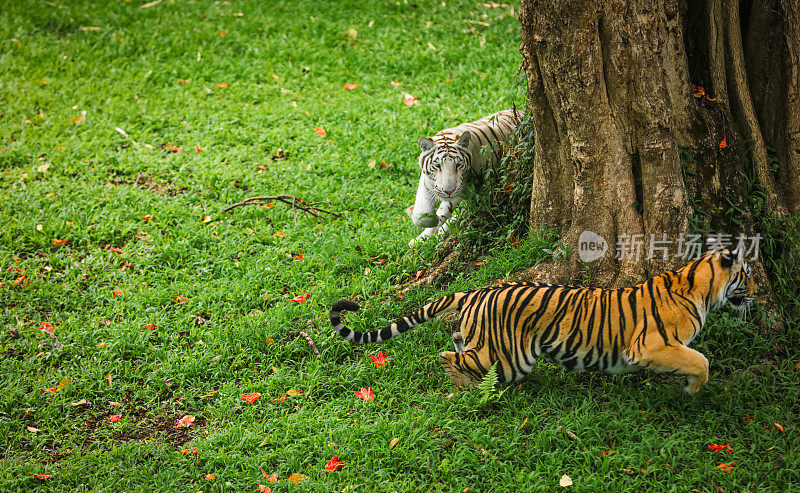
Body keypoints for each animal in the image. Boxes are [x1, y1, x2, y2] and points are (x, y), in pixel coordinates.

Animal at [332, 250, 756, 392]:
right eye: (747, 274)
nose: (756, 291)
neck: (700, 287)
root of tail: (476, 292)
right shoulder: (650, 346)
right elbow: (701, 360)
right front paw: (692, 389)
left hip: (488, 345)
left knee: (455, 344)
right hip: (508, 357)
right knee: (448, 358)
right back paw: (470, 390)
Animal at [406, 108, 520, 245]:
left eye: (458, 165)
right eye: (437, 166)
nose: (449, 191)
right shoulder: (427, 182)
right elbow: (423, 214)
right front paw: (416, 219)